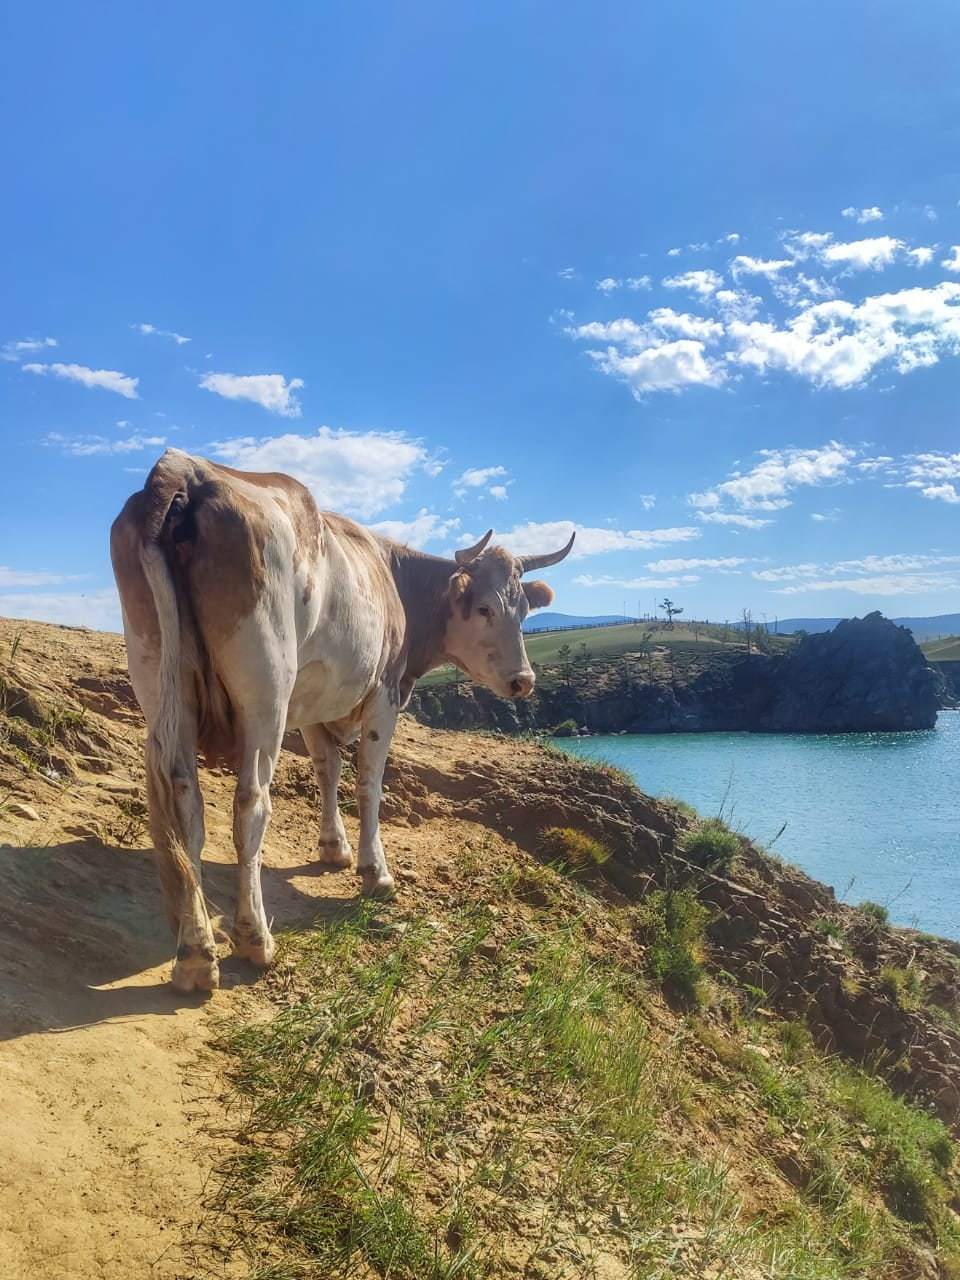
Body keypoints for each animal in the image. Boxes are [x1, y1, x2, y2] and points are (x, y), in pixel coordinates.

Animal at [112, 448, 578, 988]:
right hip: (265, 690)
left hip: (159, 674)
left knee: (183, 798)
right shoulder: (384, 694)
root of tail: (186, 469)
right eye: (483, 608)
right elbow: (368, 783)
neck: (395, 577)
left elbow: (327, 770)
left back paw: (194, 951)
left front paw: (333, 847)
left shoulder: (317, 700)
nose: (523, 681)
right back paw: (254, 939)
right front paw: (375, 871)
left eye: (523, 611)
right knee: (250, 804)